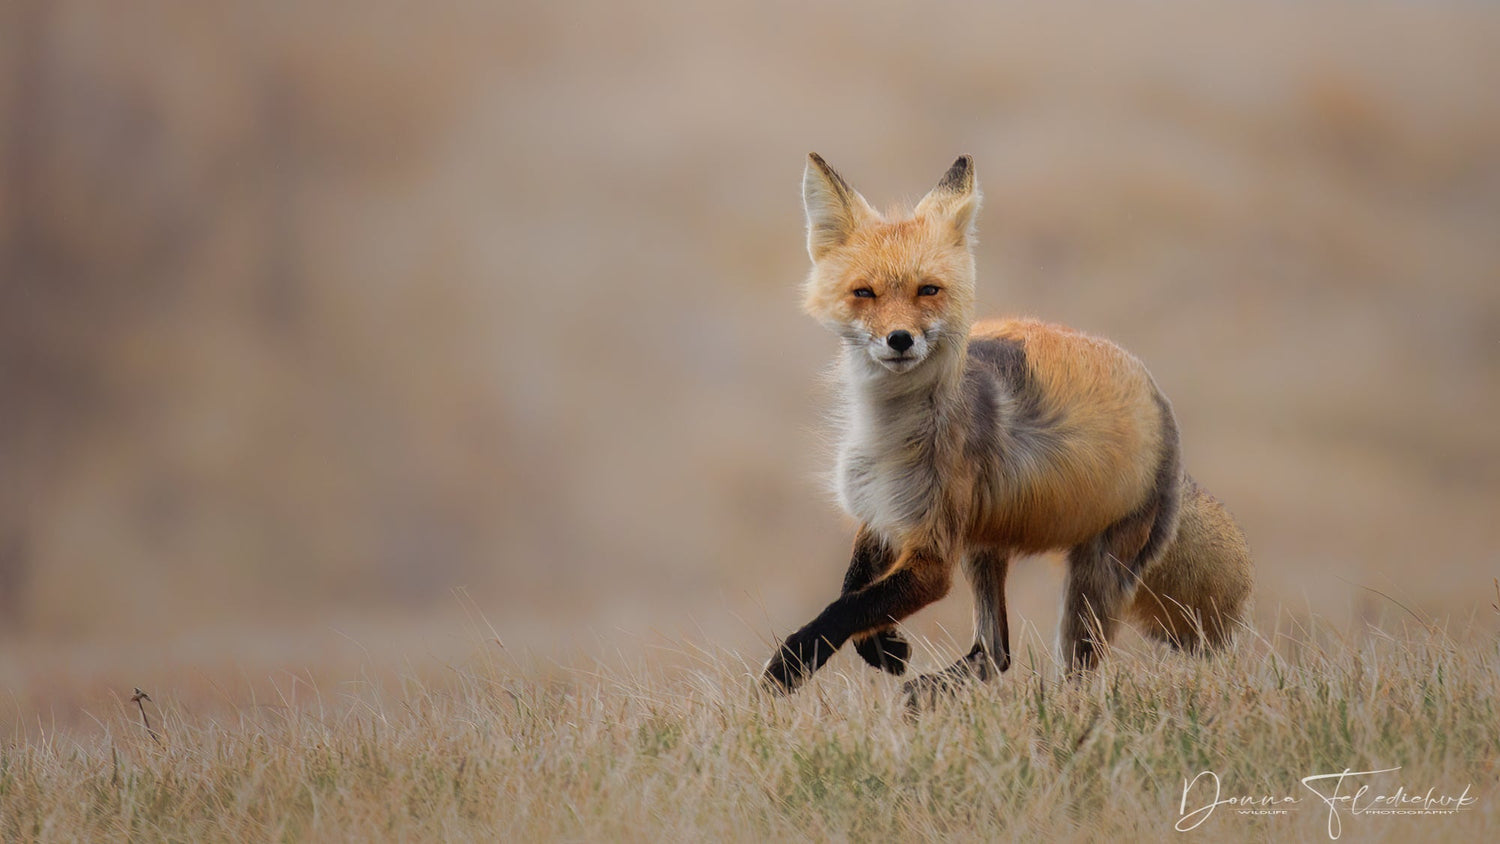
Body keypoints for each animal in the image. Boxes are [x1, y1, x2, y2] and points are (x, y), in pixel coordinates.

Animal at [762, 155, 1254, 695]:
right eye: (863, 293)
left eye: (928, 290)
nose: (900, 339)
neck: (887, 432)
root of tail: (1162, 406)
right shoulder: (882, 514)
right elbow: (855, 588)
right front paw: (881, 647)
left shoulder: (933, 554)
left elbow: (847, 607)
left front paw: (791, 665)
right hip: (985, 548)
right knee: (994, 652)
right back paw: (925, 691)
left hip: (1092, 581)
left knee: (1067, 676)